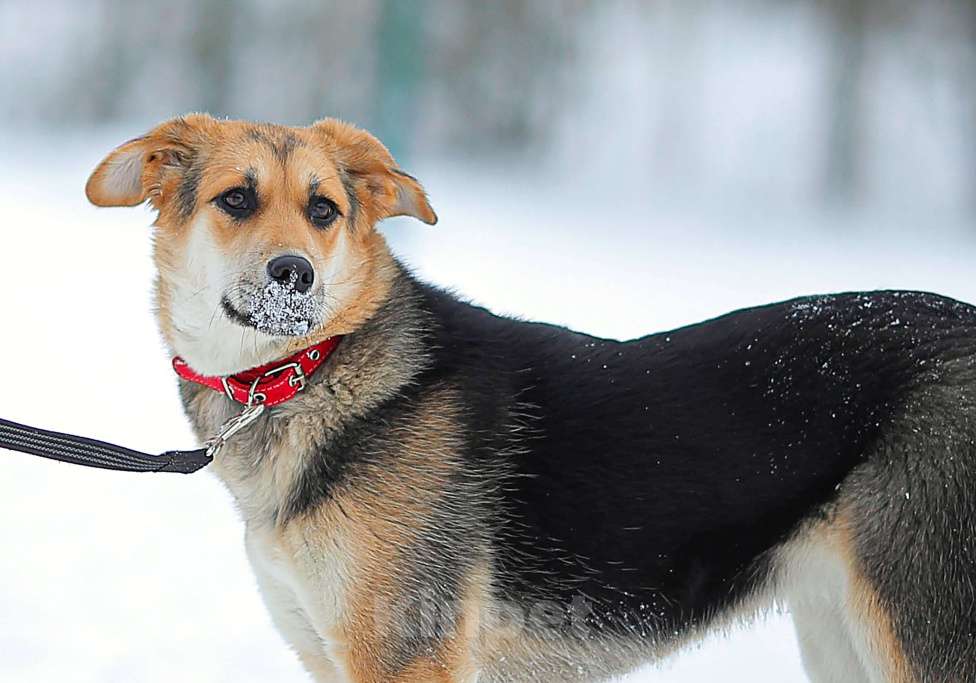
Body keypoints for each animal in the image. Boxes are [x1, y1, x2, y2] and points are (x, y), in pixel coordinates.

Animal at [86, 115, 976, 680]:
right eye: (236, 198)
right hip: (841, 635)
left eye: (323, 209)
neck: (312, 369)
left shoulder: (406, 654)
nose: (294, 274)